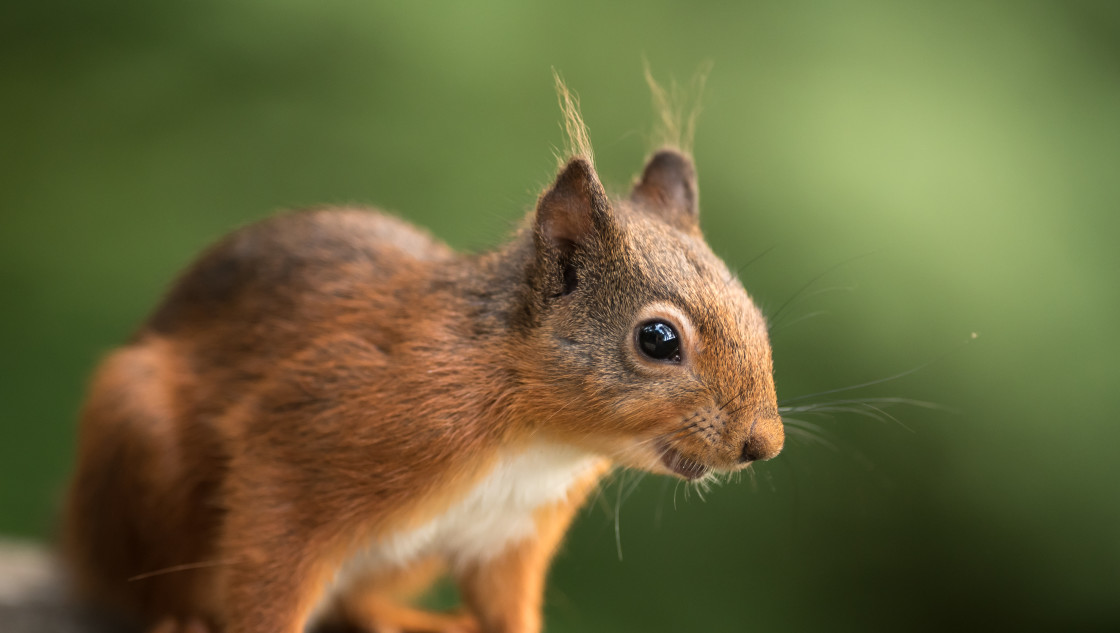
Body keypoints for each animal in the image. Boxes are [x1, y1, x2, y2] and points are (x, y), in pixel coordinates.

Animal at [59, 80, 779, 631]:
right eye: (658, 340)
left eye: (754, 309)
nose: (763, 444)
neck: (538, 437)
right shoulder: (304, 437)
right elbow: (271, 572)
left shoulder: (511, 536)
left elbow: (506, 607)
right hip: (139, 448)